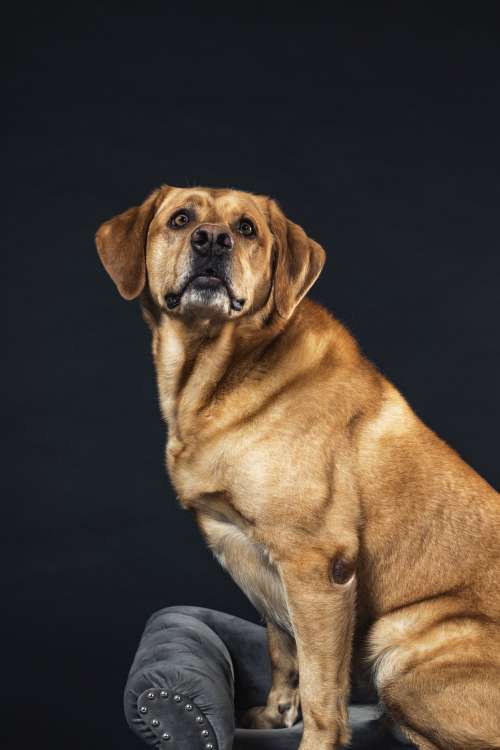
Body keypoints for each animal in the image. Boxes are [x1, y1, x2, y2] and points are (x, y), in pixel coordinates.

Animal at [96, 187, 500, 750]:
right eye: (180, 219)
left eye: (245, 228)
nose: (212, 239)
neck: (216, 374)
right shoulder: (263, 564)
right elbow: (283, 654)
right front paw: (273, 716)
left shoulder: (318, 566)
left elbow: (321, 687)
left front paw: (315, 738)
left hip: (399, 650)